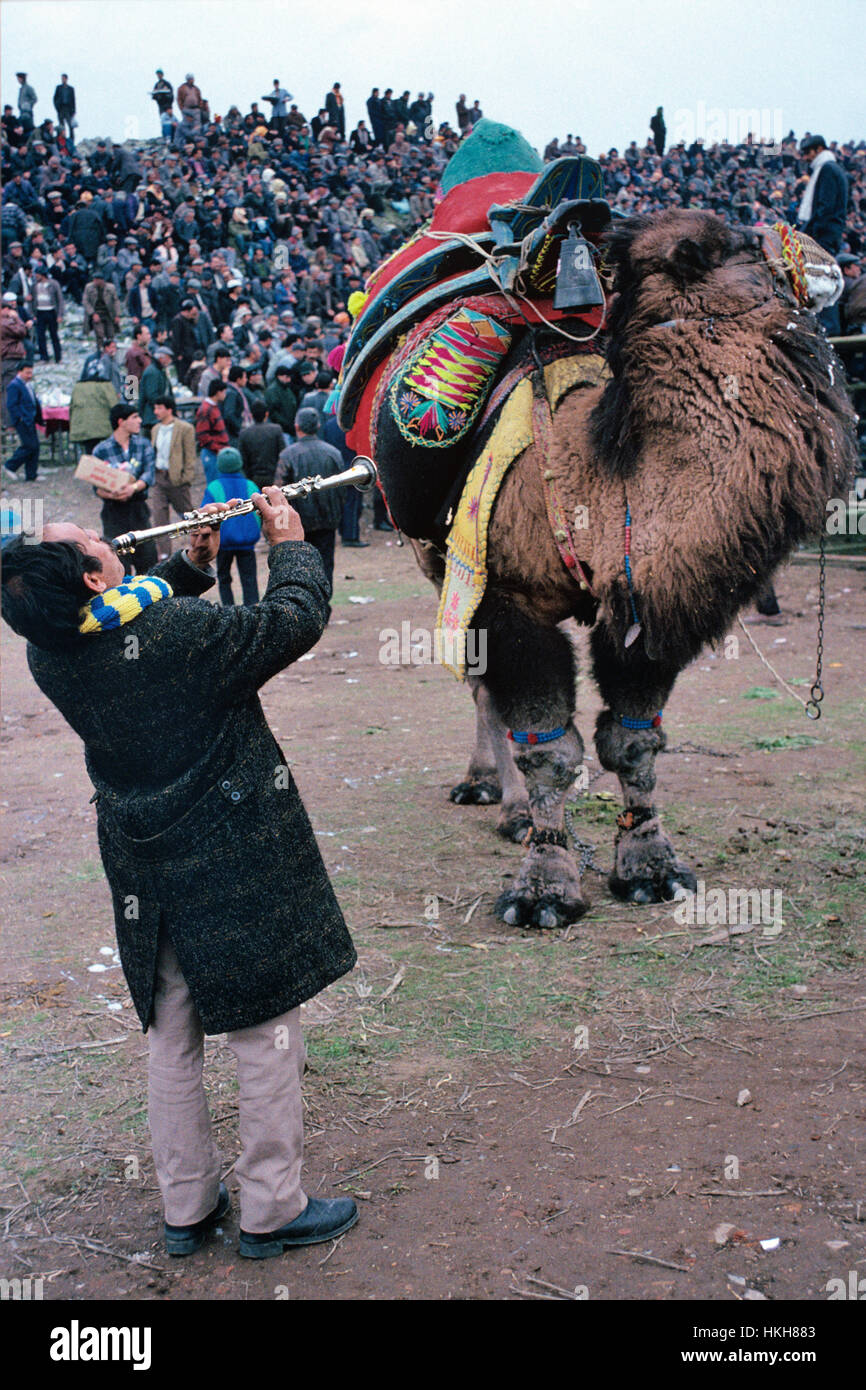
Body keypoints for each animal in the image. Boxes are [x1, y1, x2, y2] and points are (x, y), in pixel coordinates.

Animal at [383, 209, 858, 927]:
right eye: (742, 242)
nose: (832, 257)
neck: (593, 480)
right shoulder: (503, 597)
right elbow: (547, 747)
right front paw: (543, 888)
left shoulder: (646, 604)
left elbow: (633, 742)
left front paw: (651, 869)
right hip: (438, 563)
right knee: (483, 689)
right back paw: (495, 795)